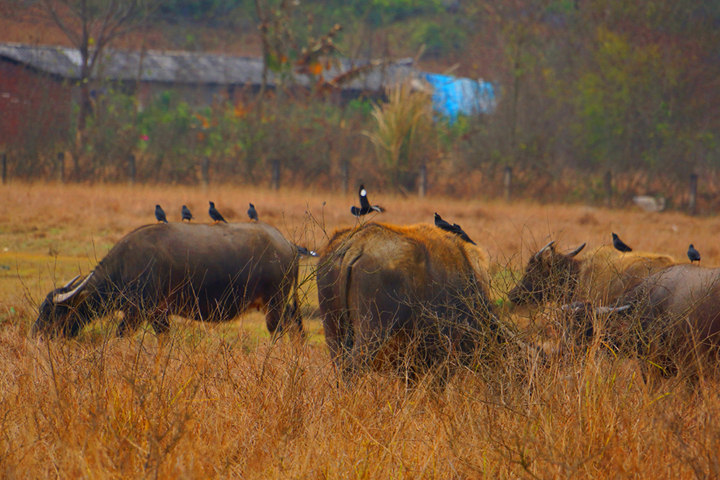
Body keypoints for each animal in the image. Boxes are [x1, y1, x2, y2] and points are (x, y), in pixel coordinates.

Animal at [33, 221, 302, 338]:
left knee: (278, 331)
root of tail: (288, 244)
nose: (36, 335)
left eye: (52, 313)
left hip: (274, 305)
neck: (127, 265)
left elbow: (119, 335)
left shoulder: (137, 312)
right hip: (282, 304)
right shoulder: (159, 315)